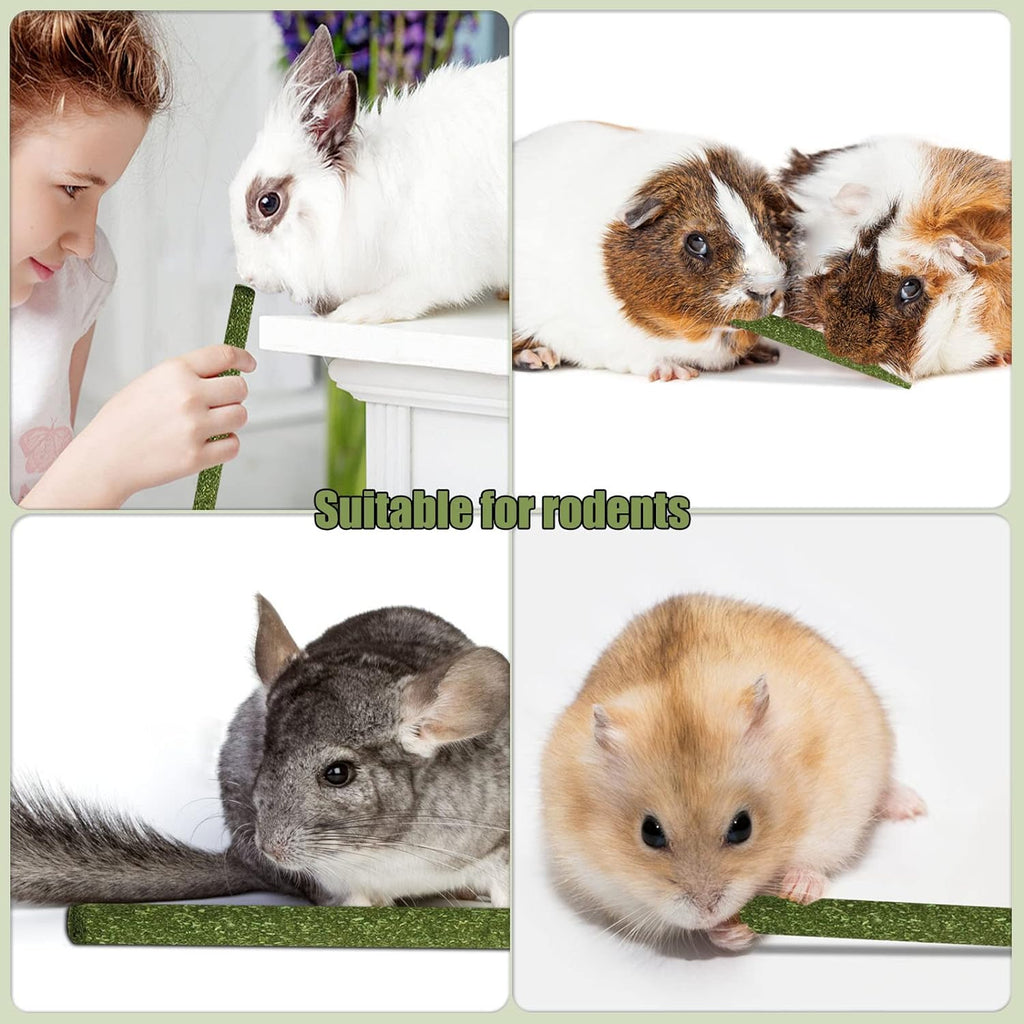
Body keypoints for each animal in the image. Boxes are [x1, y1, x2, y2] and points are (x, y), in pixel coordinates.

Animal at [513, 122, 793, 380]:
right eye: (696, 242)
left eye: (767, 225)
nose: (764, 289)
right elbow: (647, 358)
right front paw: (679, 373)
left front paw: (766, 353)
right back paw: (539, 358)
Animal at [541, 594, 925, 952]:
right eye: (649, 833)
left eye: (743, 827)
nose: (707, 911)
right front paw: (726, 933)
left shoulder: (832, 808)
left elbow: (810, 861)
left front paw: (796, 891)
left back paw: (913, 808)